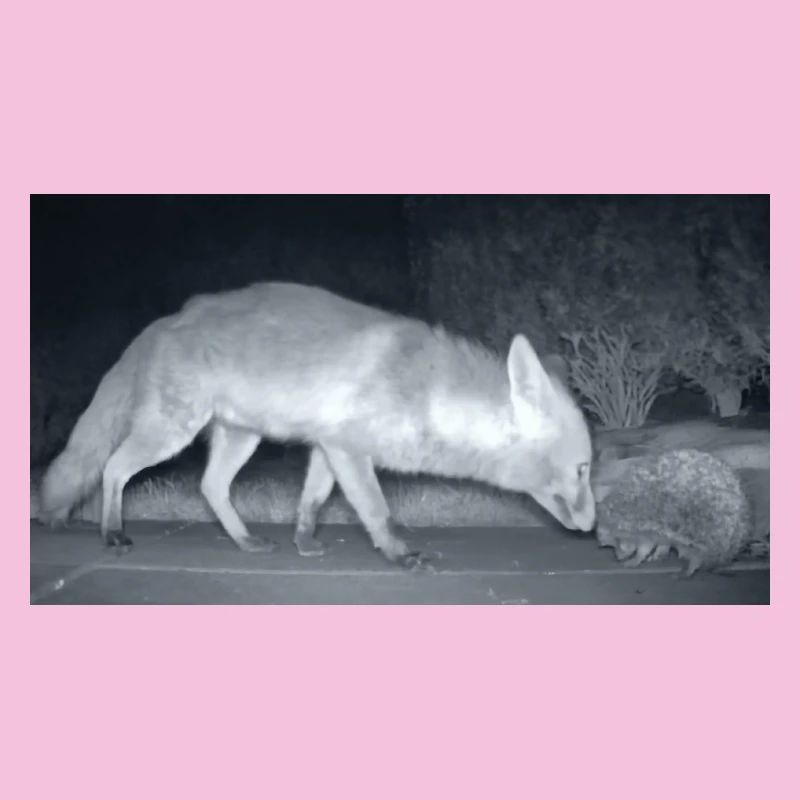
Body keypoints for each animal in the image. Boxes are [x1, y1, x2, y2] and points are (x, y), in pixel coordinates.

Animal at [38, 282, 596, 567]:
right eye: (583, 470)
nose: (593, 528)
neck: (426, 392)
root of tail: (164, 321)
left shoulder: (330, 447)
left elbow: (311, 503)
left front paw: (303, 544)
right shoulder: (350, 449)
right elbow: (376, 511)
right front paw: (399, 554)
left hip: (241, 438)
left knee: (210, 487)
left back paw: (245, 542)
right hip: (170, 433)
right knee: (112, 469)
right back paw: (111, 532)